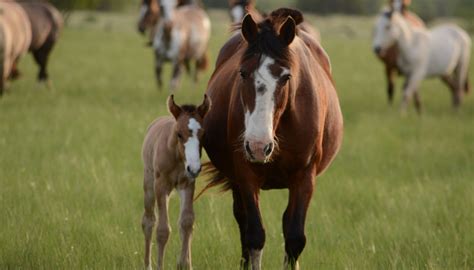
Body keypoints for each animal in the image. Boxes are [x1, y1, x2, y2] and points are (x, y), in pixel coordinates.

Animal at [141, 94, 211, 270]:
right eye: (179, 134)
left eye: (203, 134)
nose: (194, 168)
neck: (177, 156)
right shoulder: (161, 186)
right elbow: (162, 230)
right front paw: (159, 266)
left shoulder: (188, 184)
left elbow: (186, 223)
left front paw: (185, 264)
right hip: (149, 185)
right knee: (148, 221)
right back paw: (147, 265)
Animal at [202, 8, 342, 270]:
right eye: (242, 72)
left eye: (286, 77)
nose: (259, 146)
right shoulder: (246, 174)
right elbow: (255, 235)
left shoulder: (304, 176)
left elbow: (295, 237)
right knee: (243, 221)